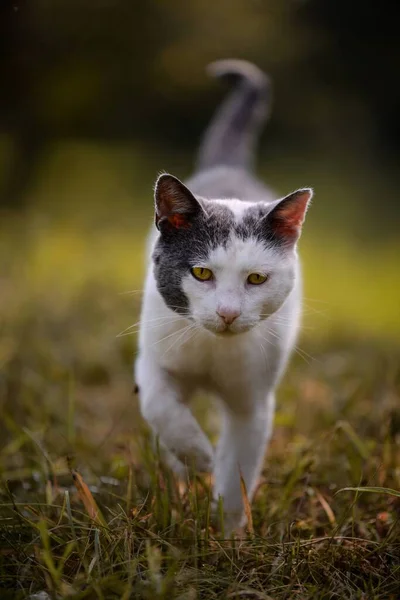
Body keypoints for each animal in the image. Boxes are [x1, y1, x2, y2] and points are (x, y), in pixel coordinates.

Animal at [134, 58, 312, 532]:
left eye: (256, 279)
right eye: (201, 272)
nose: (229, 313)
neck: (212, 352)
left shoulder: (254, 404)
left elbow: (237, 475)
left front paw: (228, 536)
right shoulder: (153, 358)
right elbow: (160, 405)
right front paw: (196, 454)